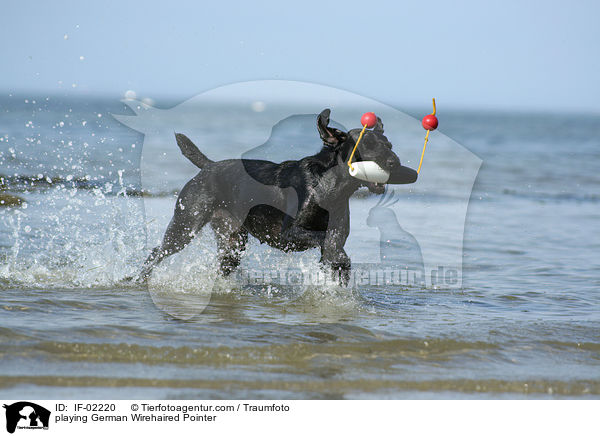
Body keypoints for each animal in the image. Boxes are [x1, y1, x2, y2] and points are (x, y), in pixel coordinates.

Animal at [137, 110, 418, 282]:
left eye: (389, 145)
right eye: (366, 145)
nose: (394, 162)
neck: (331, 188)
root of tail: (209, 166)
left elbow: (334, 250)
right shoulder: (287, 235)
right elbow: (325, 240)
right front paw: (338, 257)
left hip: (232, 242)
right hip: (185, 225)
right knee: (156, 252)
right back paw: (137, 279)